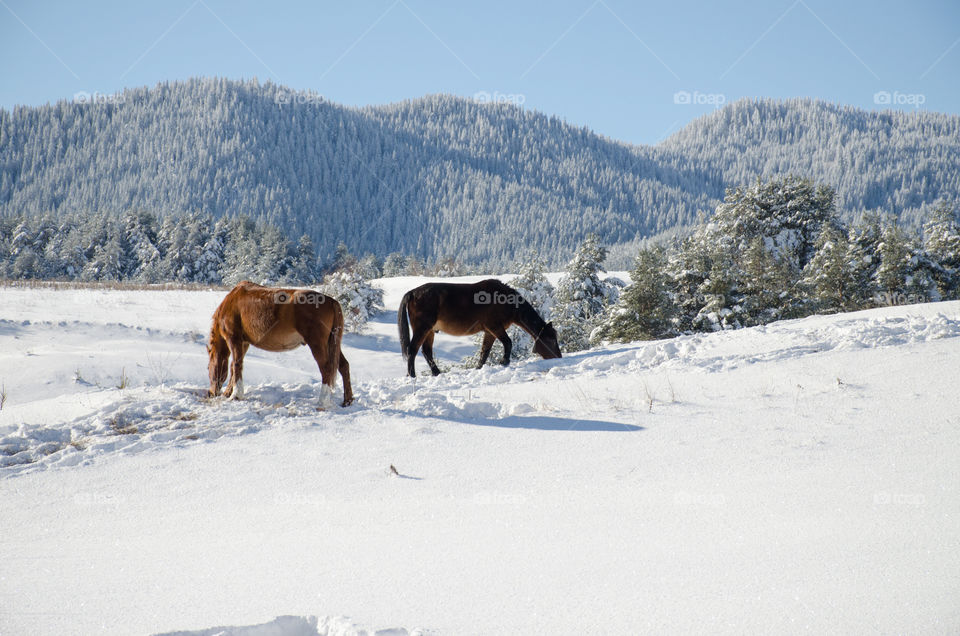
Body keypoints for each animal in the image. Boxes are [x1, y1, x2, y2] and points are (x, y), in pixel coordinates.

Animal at [207, 281, 353, 406]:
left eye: (208, 368)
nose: (211, 393)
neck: (231, 301)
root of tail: (332, 301)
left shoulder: (234, 339)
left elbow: (236, 365)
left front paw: (235, 395)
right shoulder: (244, 343)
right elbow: (234, 365)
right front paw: (229, 392)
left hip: (317, 344)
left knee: (326, 368)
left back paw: (322, 401)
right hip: (331, 344)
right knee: (343, 366)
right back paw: (348, 400)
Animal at [397, 278, 561, 377]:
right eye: (552, 339)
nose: (559, 358)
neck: (505, 300)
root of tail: (412, 293)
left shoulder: (490, 332)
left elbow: (485, 352)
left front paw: (479, 368)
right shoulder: (494, 327)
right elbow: (508, 343)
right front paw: (504, 362)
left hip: (430, 331)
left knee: (427, 352)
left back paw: (437, 373)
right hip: (422, 329)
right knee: (412, 350)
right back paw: (412, 375)